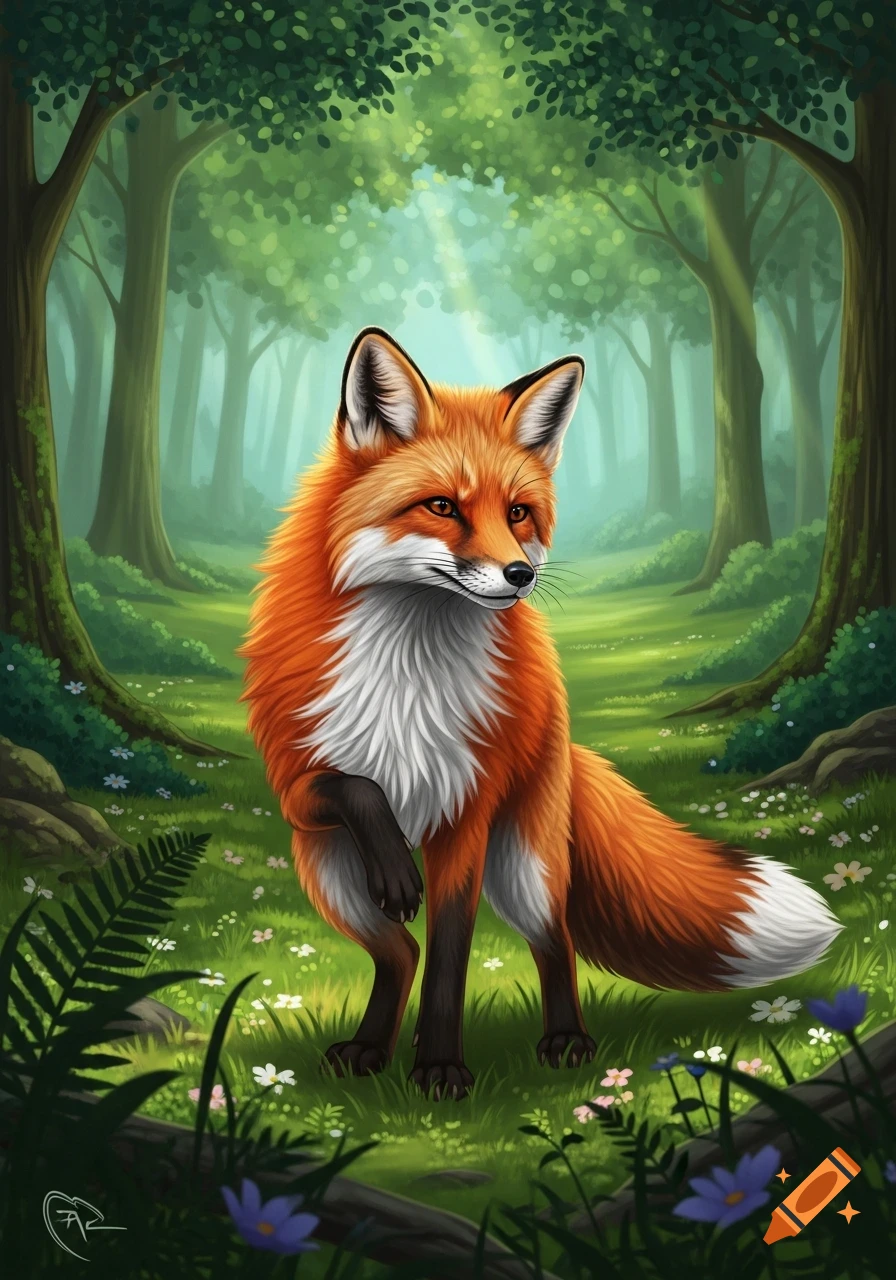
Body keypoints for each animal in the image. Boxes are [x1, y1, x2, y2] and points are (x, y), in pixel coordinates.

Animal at [239, 326, 842, 1101]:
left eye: (517, 513)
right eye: (442, 507)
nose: (520, 575)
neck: (407, 673)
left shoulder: (466, 814)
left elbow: (451, 959)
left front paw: (440, 1068)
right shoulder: (296, 781)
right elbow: (358, 788)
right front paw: (399, 884)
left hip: (524, 867)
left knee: (552, 941)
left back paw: (564, 1040)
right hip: (331, 876)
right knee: (397, 951)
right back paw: (370, 1048)